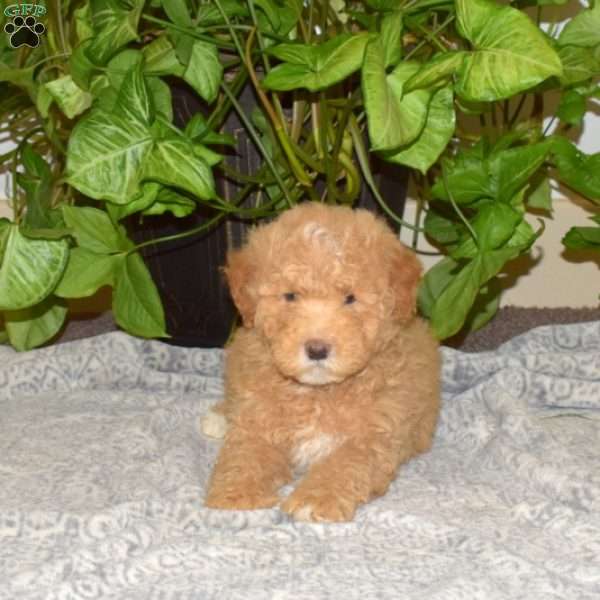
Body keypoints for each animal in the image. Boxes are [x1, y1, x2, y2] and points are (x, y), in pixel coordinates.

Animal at [203, 202, 440, 520]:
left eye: (350, 298)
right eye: (290, 296)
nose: (317, 349)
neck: (317, 393)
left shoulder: (374, 437)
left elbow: (345, 463)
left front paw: (314, 499)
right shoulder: (259, 424)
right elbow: (246, 453)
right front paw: (237, 494)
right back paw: (219, 416)